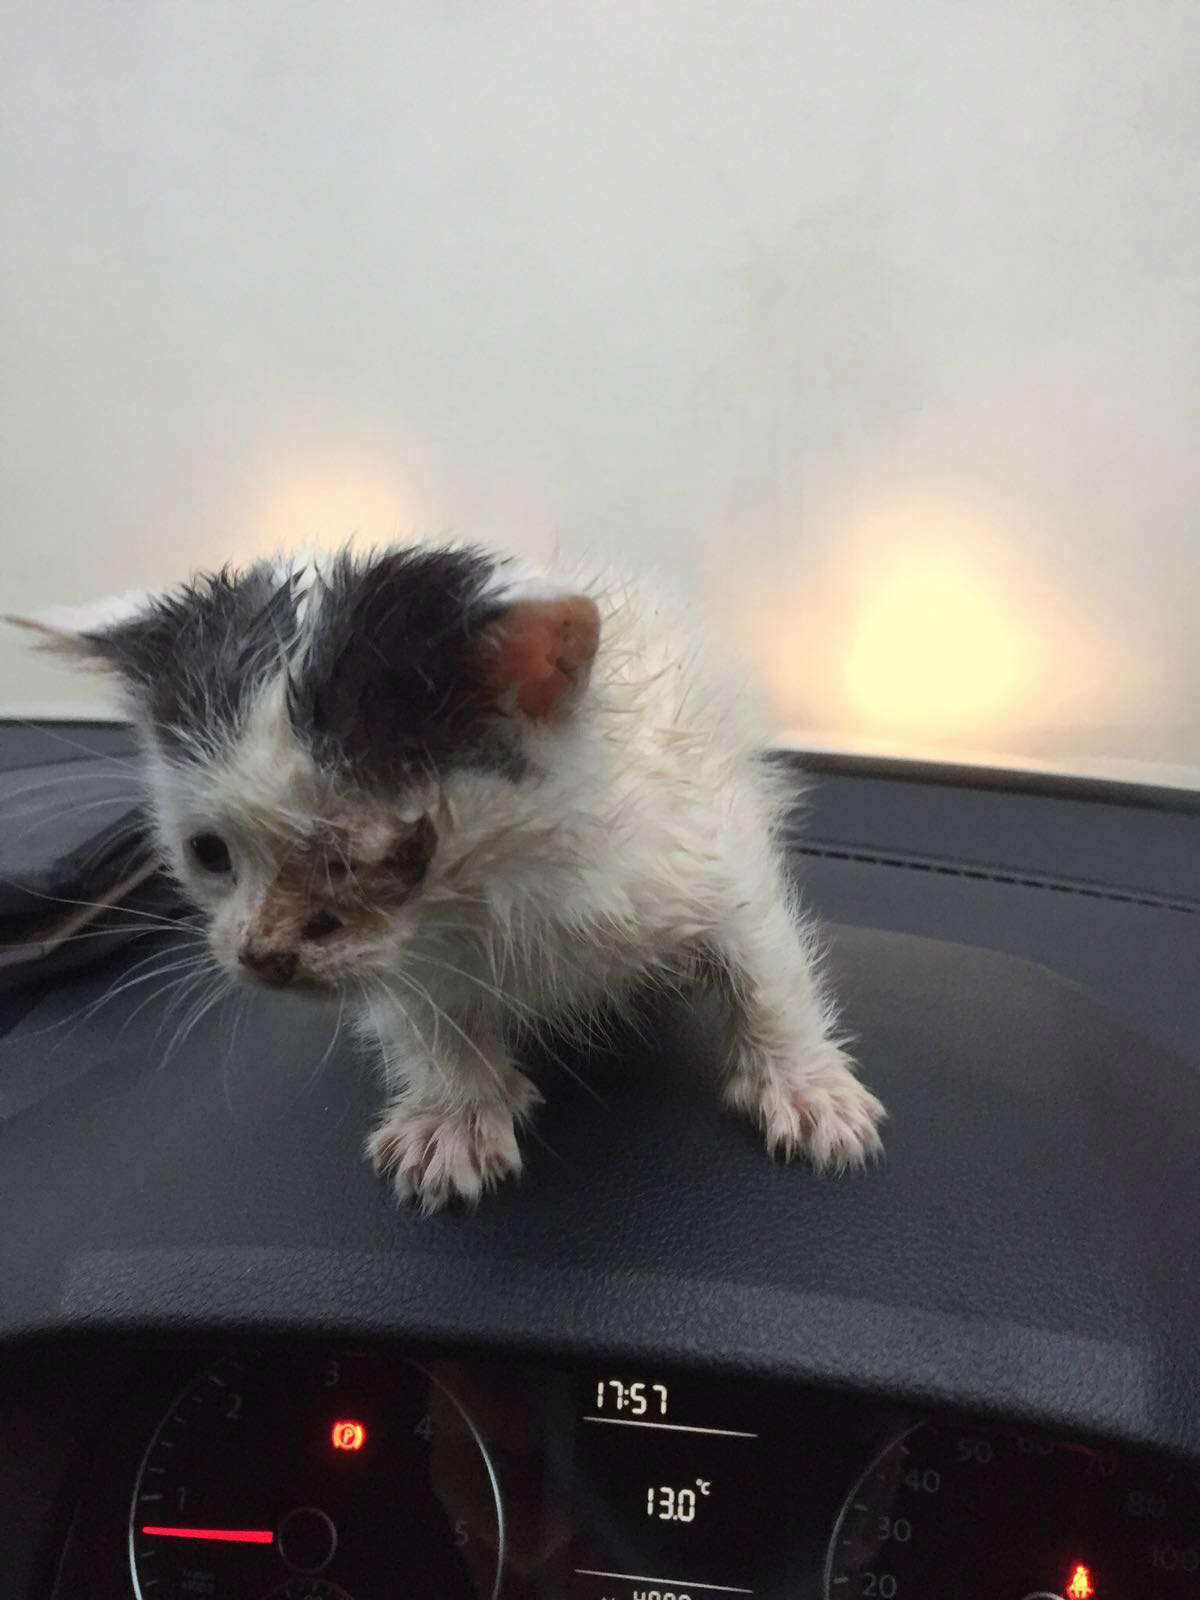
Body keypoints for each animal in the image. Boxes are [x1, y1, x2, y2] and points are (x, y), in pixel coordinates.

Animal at [9, 544, 883, 1203]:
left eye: (377, 857)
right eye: (209, 854)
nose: (263, 957)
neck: (499, 891)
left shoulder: (697, 836)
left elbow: (762, 953)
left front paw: (807, 1088)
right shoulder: (405, 957)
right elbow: (420, 1006)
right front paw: (454, 1116)